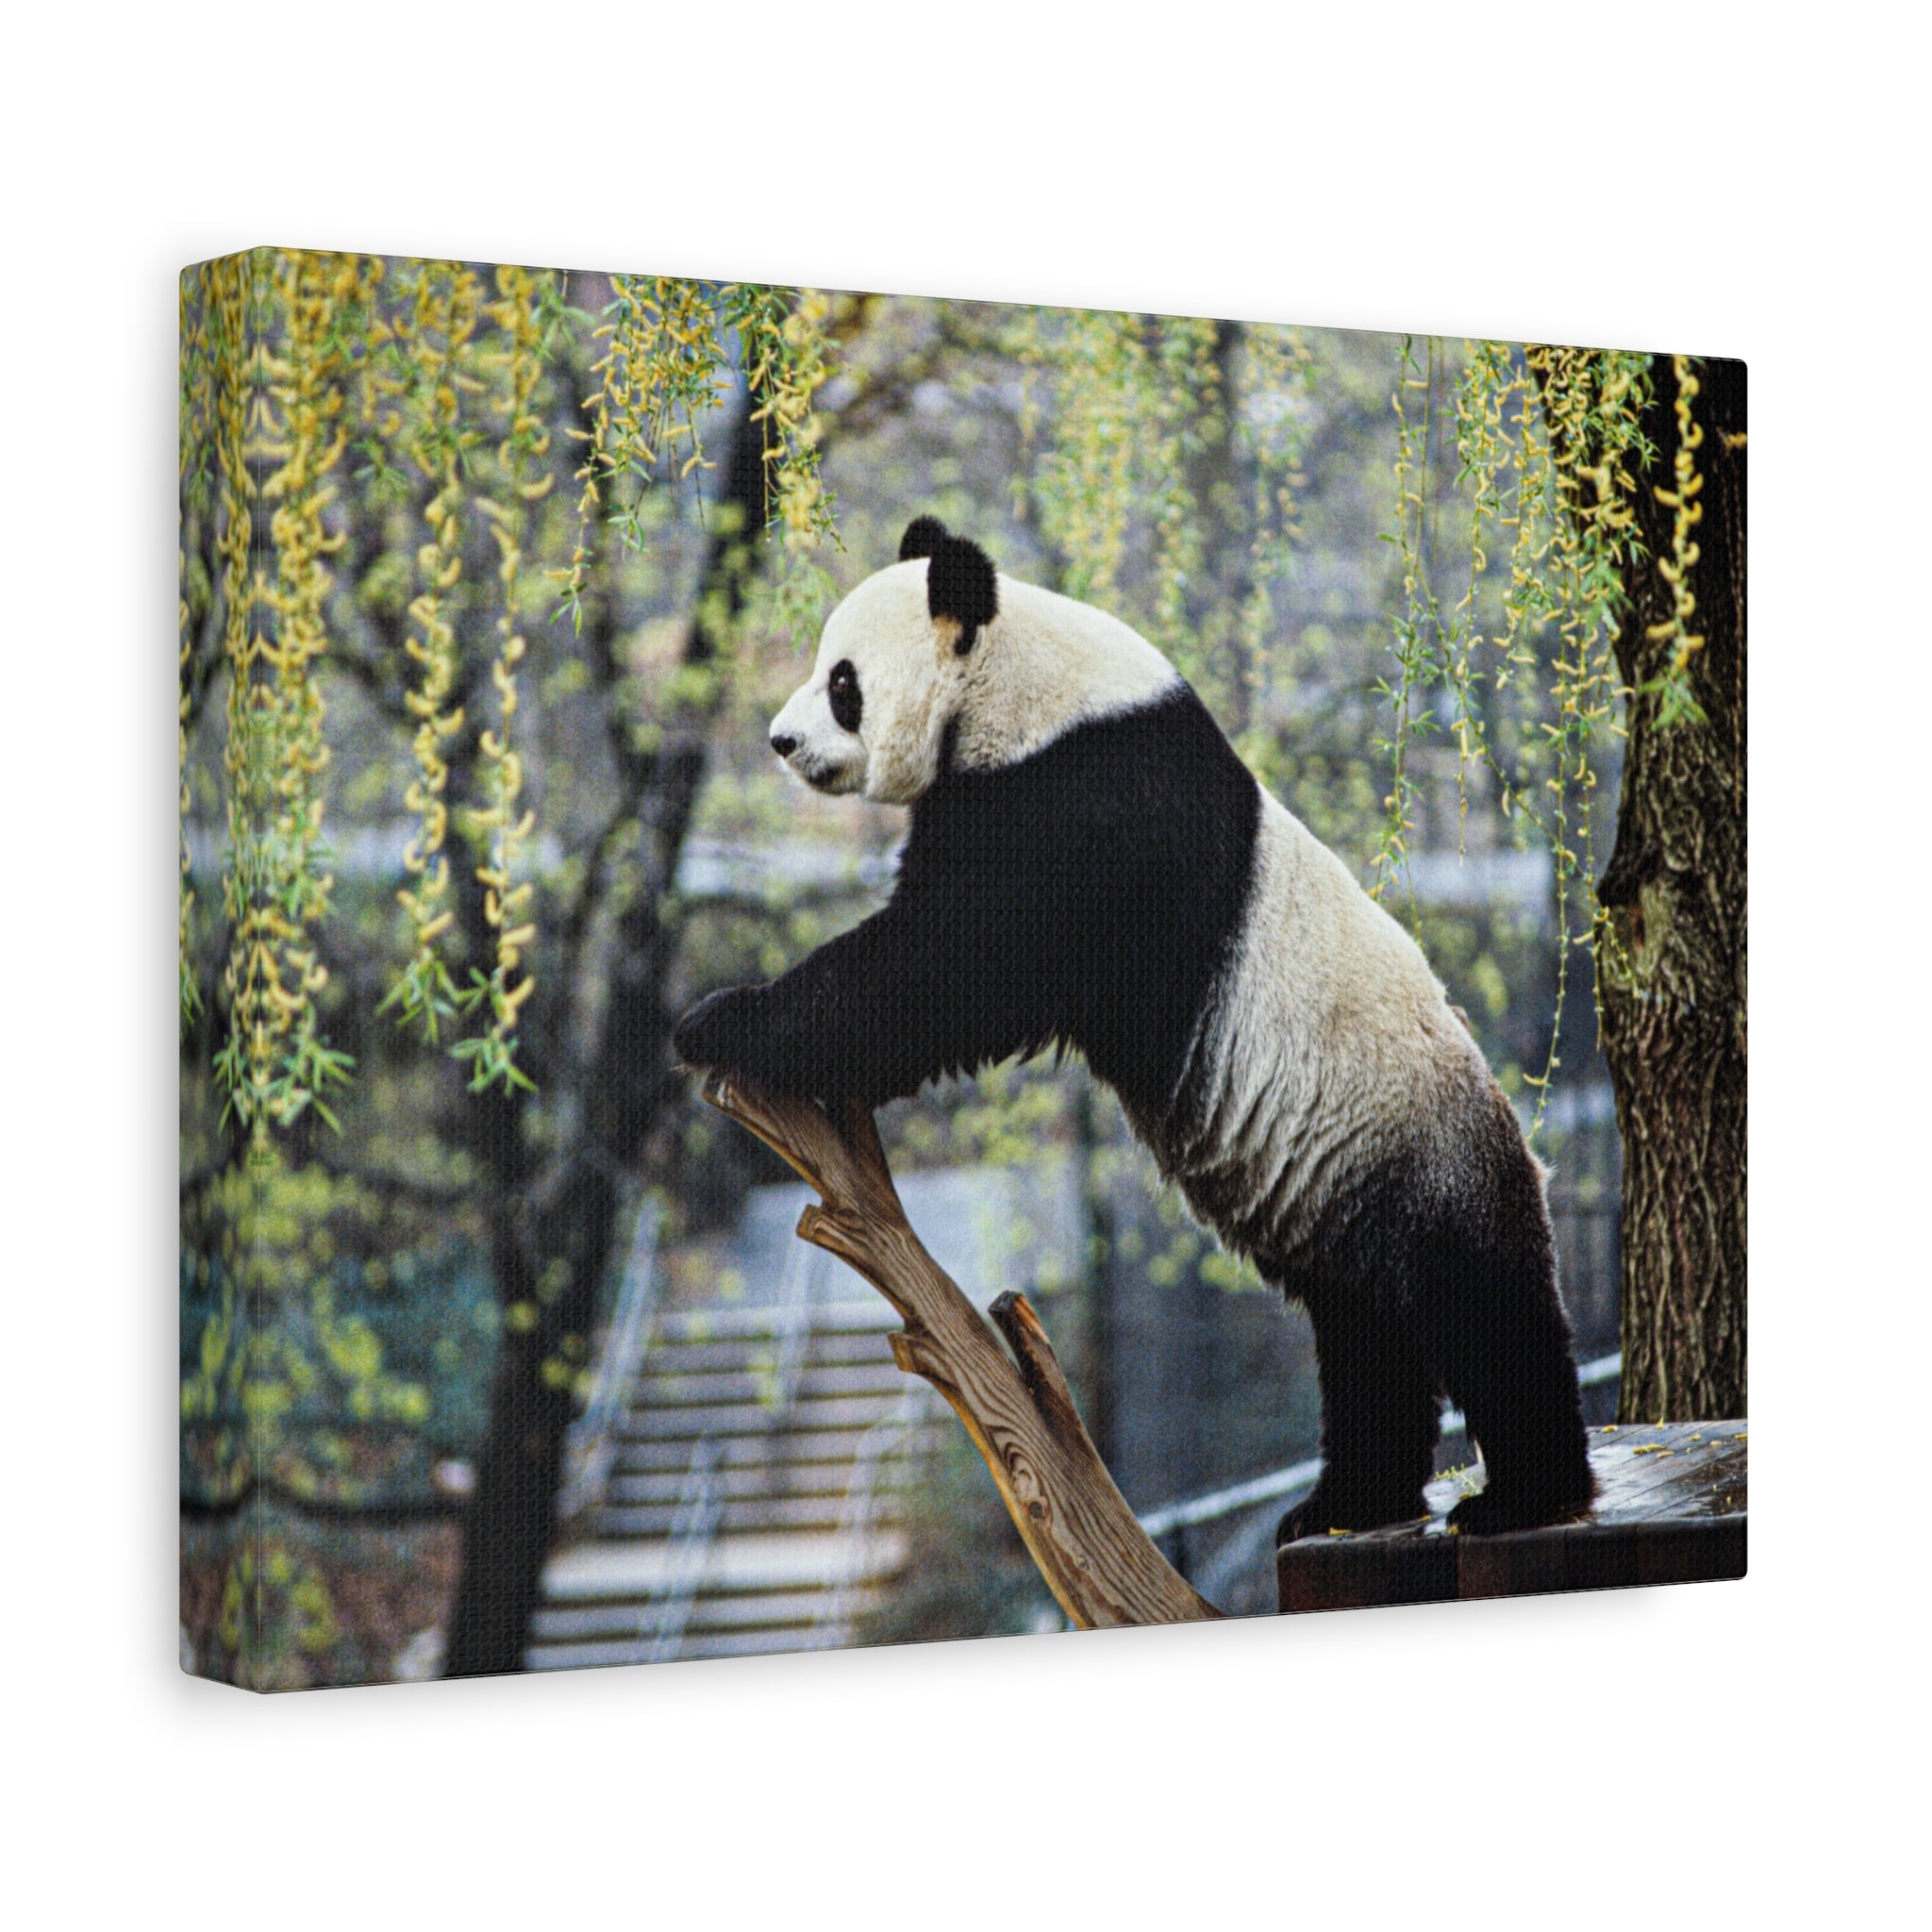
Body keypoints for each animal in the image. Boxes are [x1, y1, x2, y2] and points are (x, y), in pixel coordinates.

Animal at [675, 515, 1594, 1541]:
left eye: (843, 681)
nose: (781, 739)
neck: (1023, 685)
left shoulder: (1083, 807)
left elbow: (947, 966)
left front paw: (723, 1021)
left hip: (1420, 1151)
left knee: (1480, 1308)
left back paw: (1520, 1495)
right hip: (1345, 1190)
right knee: (1364, 1335)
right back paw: (1347, 1503)